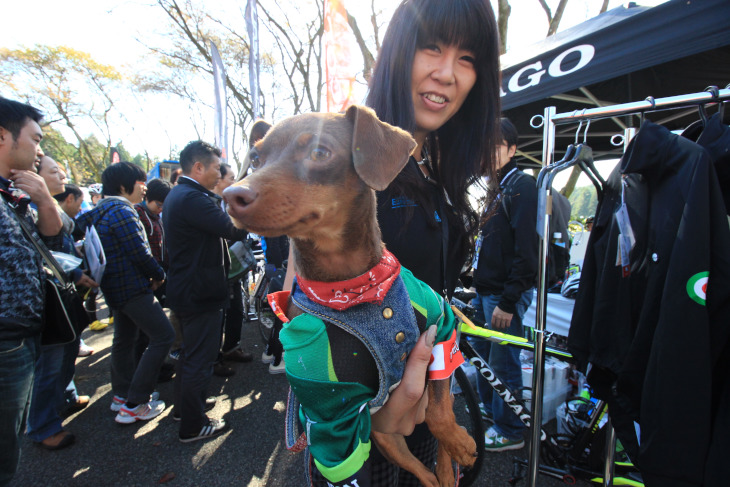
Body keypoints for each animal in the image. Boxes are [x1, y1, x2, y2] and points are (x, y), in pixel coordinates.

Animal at [225, 105, 478, 486]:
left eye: (320, 152)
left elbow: (439, 410)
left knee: (442, 422)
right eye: (255, 159)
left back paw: (453, 460)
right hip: (385, 438)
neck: (357, 290)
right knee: (421, 471)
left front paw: (459, 444)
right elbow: (346, 462)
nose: (231, 195)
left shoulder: (442, 327)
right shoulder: (334, 416)